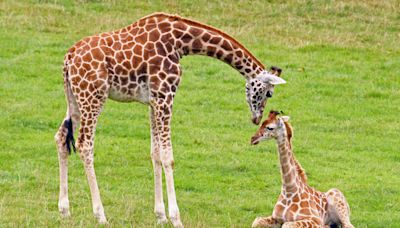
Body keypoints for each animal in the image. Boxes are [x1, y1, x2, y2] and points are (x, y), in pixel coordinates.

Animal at [56, 12, 286, 226]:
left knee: (61, 137)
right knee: (85, 144)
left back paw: (64, 210)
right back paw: (100, 215)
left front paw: (160, 216)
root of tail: (68, 58)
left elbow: (155, 153)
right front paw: (176, 218)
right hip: (93, 97)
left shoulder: (153, 101)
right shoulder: (165, 96)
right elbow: (168, 156)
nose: (256, 118)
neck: (180, 43)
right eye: (269, 93)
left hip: (74, 99)